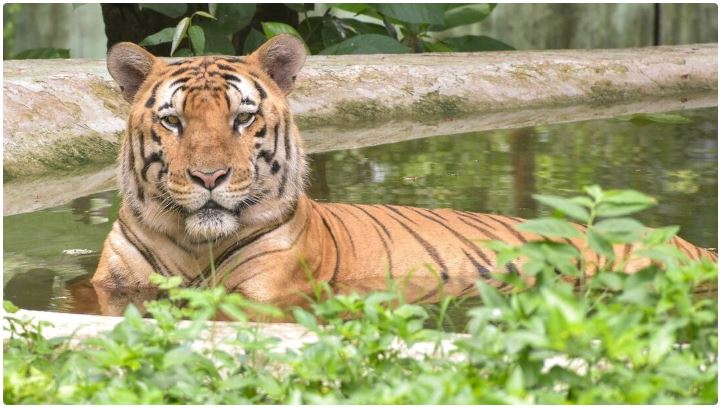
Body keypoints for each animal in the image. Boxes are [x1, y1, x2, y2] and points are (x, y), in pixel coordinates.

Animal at [92, 34, 717, 316]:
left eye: (242, 118)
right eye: (173, 121)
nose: (209, 177)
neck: (195, 244)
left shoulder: (264, 295)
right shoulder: (111, 287)